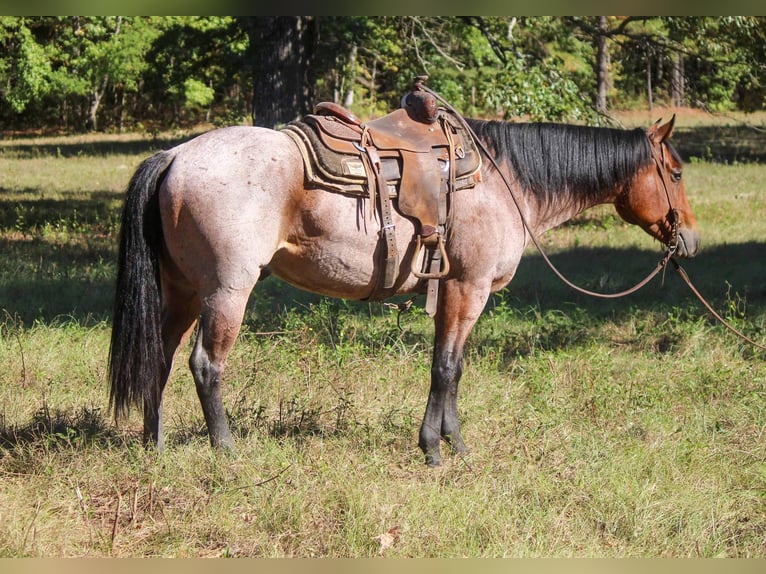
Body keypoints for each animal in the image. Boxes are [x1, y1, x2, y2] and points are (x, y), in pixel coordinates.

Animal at [108, 113, 704, 468]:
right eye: (674, 173)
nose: (691, 240)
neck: (504, 180)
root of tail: (176, 156)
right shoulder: (467, 289)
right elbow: (446, 367)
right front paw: (435, 451)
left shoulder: (455, 294)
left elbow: (453, 368)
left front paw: (456, 444)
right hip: (226, 290)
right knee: (206, 364)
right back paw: (227, 451)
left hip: (184, 290)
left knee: (159, 356)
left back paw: (154, 446)